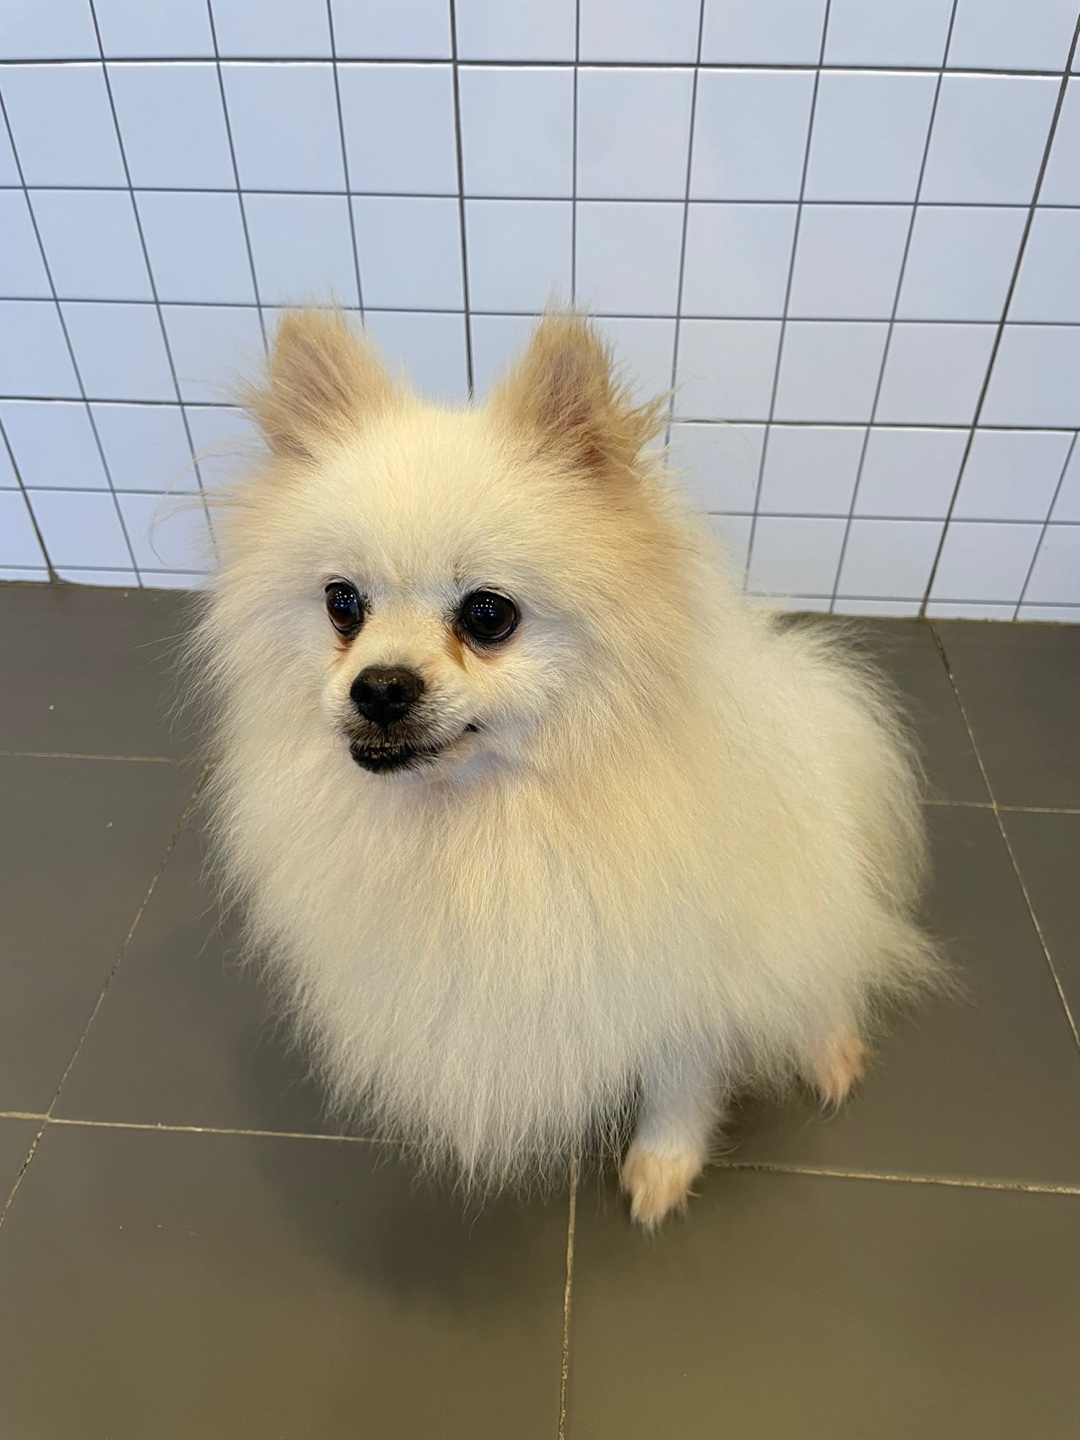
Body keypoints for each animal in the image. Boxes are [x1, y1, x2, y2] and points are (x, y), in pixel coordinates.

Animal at [192, 310, 940, 1228]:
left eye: (488, 615)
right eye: (343, 604)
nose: (379, 687)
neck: (494, 821)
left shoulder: (679, 979)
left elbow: (679, 1085)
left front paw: (663, 1166)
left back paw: (831, 1051)